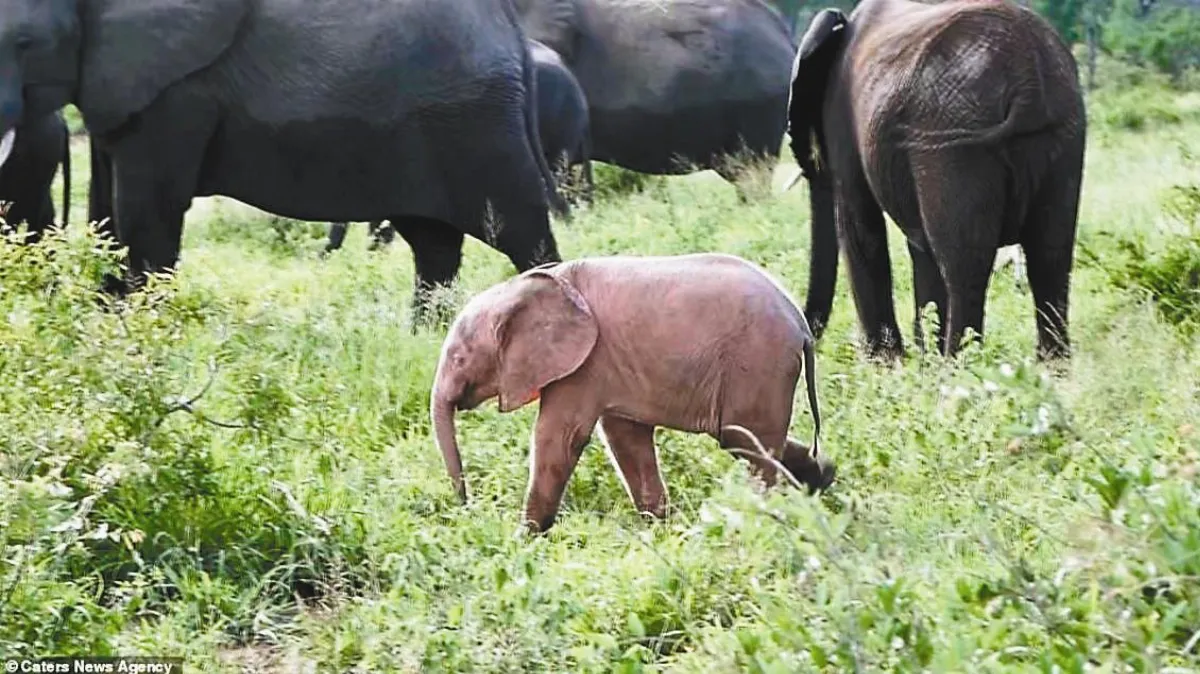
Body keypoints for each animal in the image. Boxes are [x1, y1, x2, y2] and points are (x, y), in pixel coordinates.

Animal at [430, 253, 834, 534]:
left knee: (745, 442)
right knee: (756, 442)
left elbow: (558, 439)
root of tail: (800, 324)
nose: (466, 506)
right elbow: (624, 438)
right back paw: (822, 482)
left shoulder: (584, 365)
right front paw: (660, 530)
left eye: (459, 357)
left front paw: (523, 539)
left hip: (758, 361)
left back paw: (764, 520)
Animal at [787, 0, 1086, 360]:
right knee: (1050, 256)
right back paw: (1048, 367)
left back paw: (959, 366)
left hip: (955, 142)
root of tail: (1026, 76)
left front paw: (888, 363)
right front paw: (919, 359)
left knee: (966, 267)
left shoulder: (842, 121)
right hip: (1061, 133)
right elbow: (919, 246)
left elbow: (860, 230)